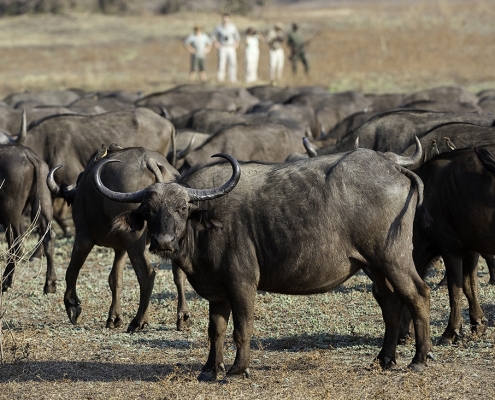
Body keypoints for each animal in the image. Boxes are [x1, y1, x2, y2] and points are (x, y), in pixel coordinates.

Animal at [94, 149, 434, 378]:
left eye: (182, 208)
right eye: (150, 210)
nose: (163, 241)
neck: (206, 222)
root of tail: (394, 167)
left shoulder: (242, 283)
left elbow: (242, 327)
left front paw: (237, 369)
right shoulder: (217, 290)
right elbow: (215, 329)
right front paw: (210, 368)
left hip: (393, 259)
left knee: (418, 295)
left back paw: (419, 359)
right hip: (374, 266)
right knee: (390, 303)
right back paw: (384, 359)